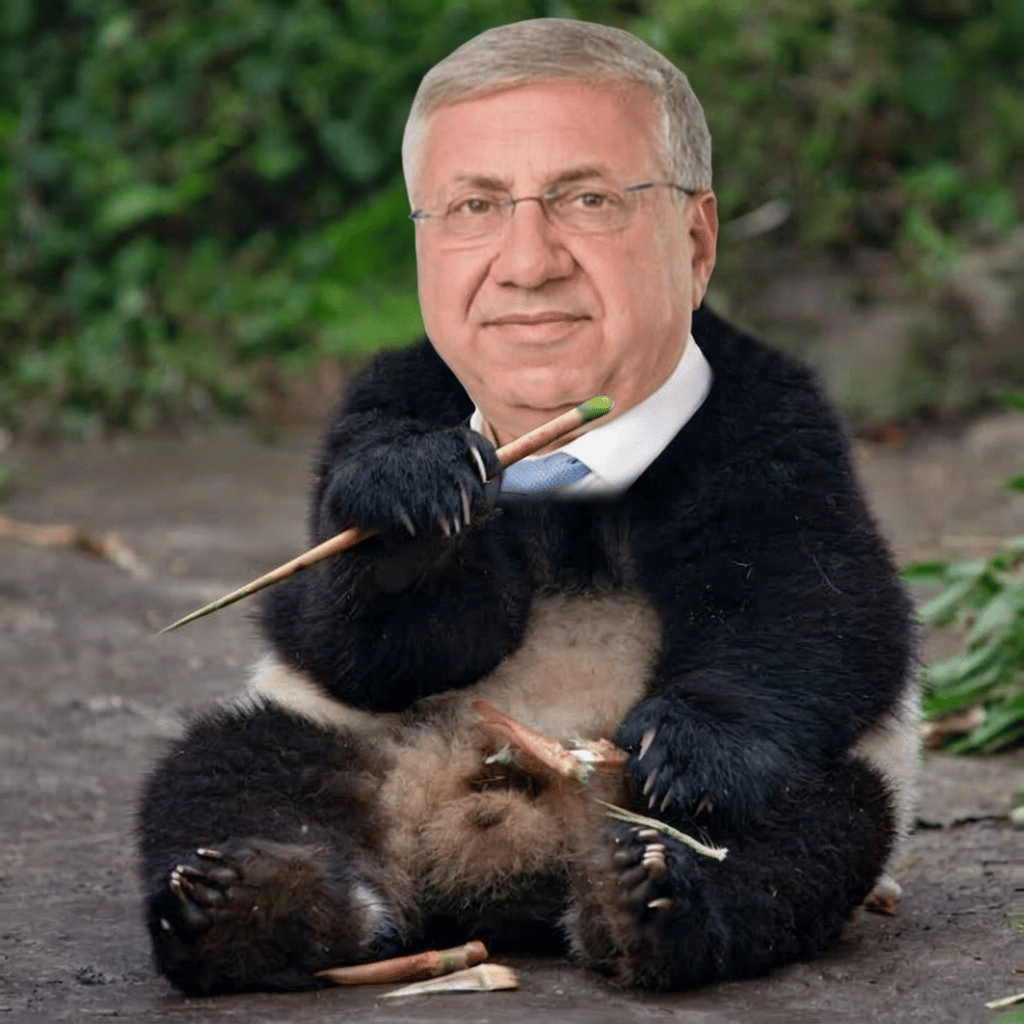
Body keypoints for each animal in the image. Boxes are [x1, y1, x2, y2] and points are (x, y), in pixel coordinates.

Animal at [136, 306, 918, 996]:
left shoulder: (770, 423)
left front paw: (686, 753)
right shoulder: (383, 404)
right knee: (229, 771)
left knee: (805, 831)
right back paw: (247, 906)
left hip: (786, 784)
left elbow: (811, 595)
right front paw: (415, 510)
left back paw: (649, 900)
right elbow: (346, 641)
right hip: (347, 744)